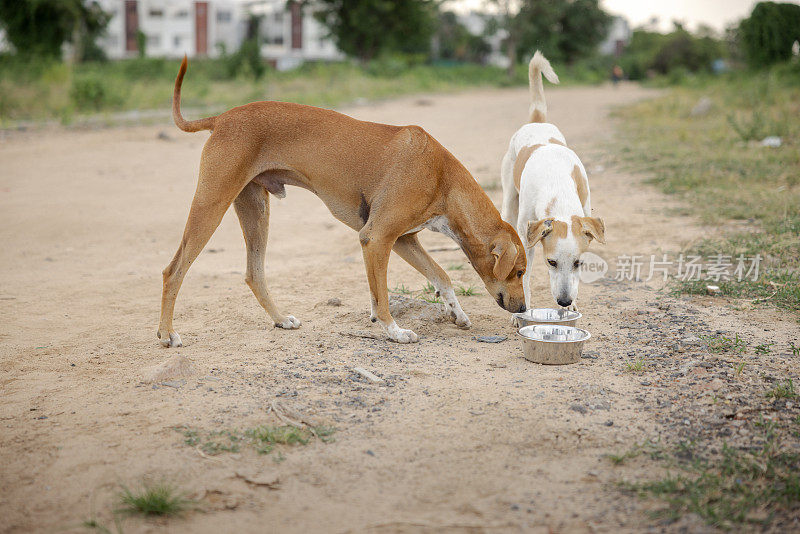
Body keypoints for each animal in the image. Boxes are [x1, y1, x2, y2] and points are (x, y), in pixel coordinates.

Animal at [159, 55, 528, 348]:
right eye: (520, 271)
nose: (524, 309)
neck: (441, 176)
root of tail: (221, 117)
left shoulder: (403, 240)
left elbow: (442, 277)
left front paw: (457, 313)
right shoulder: (376, 238)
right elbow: (382, 299)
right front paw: (394, 331)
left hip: (255, 212)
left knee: (254, 274)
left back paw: (280, 319)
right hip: (211, 206)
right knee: (173, 270)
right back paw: (167, 334)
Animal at [500, 51, 608, 310]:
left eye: (579, 263)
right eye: (551, 262)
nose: (564, 301)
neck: (557, 189)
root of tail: (537, 121)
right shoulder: (526, 236)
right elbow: (525, 274)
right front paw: (522, 311)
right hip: (509, 200)